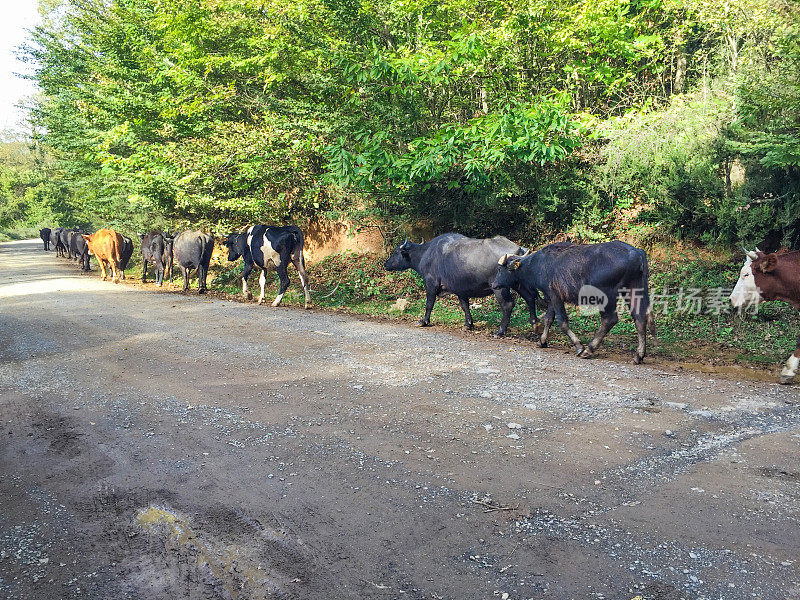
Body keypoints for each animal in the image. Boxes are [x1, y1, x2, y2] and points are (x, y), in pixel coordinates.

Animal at [382, 232, 536, 336]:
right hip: (518, 284)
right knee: (530, 298)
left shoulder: (431, 284)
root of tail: (519, 250)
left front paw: (423, 321)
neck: (426, 254)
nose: (385, 264)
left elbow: (429, 304)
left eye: (396, 252)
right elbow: (464, 306)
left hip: (499, 287)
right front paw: (468, 324)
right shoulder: (461, 289)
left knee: (507, 305)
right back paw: (535, 324)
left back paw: (500, 331)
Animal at [490, 241, 652, 364]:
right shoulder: (551, 298)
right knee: (640, 318)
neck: (536, 265)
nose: (494, 284)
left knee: (610, 320)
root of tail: (637, 252)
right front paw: (542, 341)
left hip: (607, 295)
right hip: (634, 290)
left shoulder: (555, 296)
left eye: (499, 269)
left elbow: (562, 321)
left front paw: (579, 346)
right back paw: (639, 355)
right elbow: (548, 319)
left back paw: (589, 349)